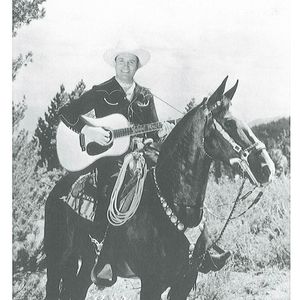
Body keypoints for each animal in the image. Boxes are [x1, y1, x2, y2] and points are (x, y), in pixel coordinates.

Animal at [43, 76, 276, 298]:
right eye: (228, 123)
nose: (267, 167)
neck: (175, 203)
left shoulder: (185, 280)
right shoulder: (152, 283)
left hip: (86, 264)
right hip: (56, 260)